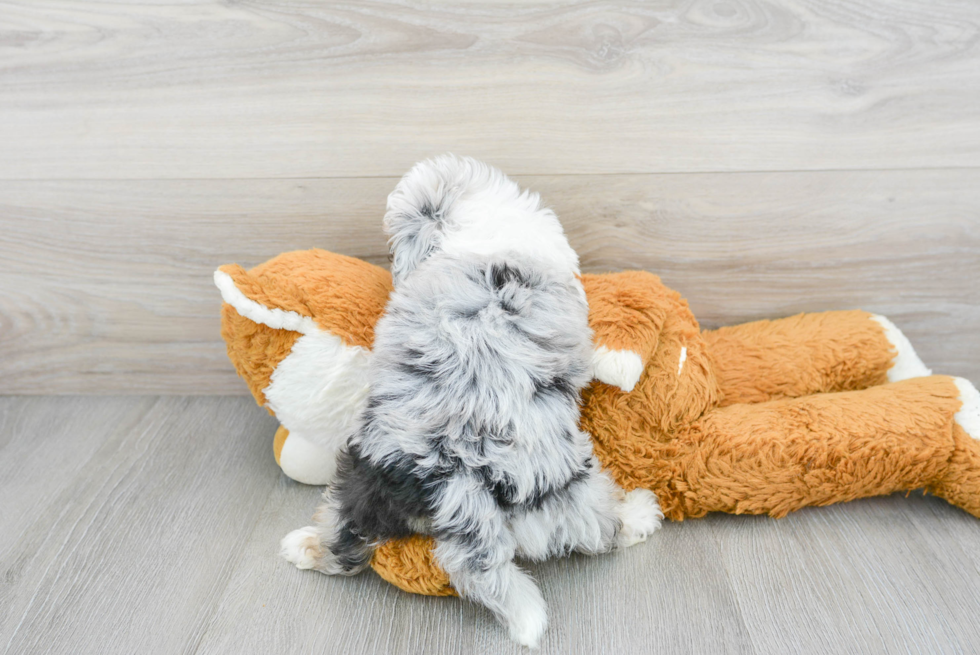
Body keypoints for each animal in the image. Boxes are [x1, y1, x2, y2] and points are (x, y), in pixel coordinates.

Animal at [284, 155, 668, 652]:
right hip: (570, 492)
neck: (471, 221)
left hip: (363, 477)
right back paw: (639, 513)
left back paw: (303, 546)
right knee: (600, 529)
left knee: (344, 535)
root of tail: (455, 469)